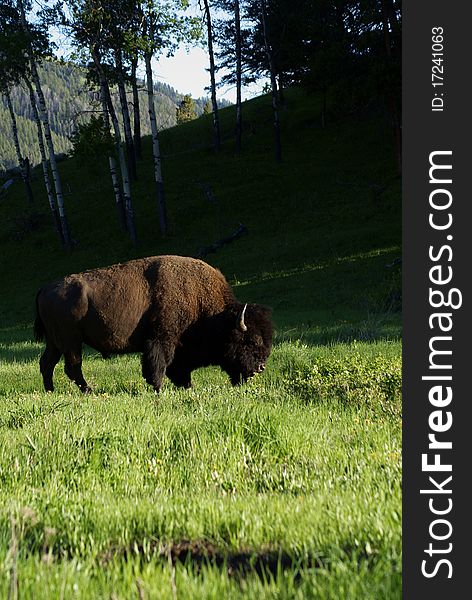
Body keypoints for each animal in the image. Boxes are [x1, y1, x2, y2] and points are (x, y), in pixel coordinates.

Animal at [34, 254, 272, 392]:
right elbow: (159, 364)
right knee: (72, 367)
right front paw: (158, 388)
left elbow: (177, 367)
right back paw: (88, 390)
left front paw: (186, 386)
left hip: (55, 343)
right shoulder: (162, 339)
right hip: (71, 342)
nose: (260, 367)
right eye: (250, 341)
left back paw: (50, 390)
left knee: (47, 364)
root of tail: (44, 288)